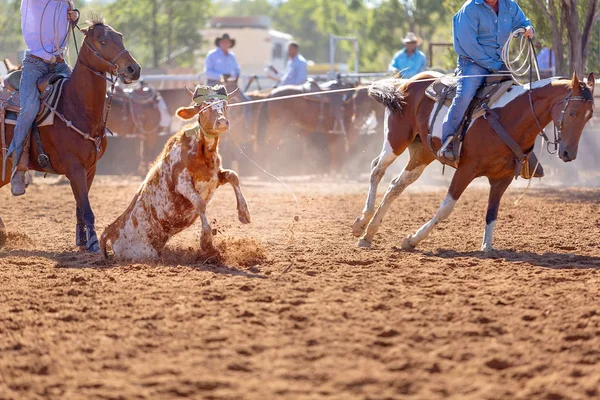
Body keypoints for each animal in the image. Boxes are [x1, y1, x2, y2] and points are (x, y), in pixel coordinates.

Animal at [0, 20, 141, 252]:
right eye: (102, 41)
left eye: (120, 36)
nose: (134, 69)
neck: (75, 105)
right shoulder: (75, 168)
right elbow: (86, 209)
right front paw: (93, 243)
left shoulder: (90, 169)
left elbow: (79, 207)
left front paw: (82, 240)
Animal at [99, 84, 250, 260]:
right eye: (203, 107)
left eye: (225, 106)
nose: (222, 122)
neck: (201, 151)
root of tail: (110, 231)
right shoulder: (182, 183)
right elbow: (200, 203)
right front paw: (207, 244)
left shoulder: (215, 177)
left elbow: (233, 176)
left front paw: (244, 213)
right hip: (144, 253)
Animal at [354, 72, 592, 252]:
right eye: (572, 112)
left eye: (589, 116)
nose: (569, 154)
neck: (510, 117)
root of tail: (409, 81)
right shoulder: (466, 170)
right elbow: (446, 209)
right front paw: (412, 239)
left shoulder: (502, 179)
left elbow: (492, 213)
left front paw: (487, 247)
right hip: (396, 140)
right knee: (377, 170)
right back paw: (361, 222)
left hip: (422, 153)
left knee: (396, 185)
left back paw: (369, 233)